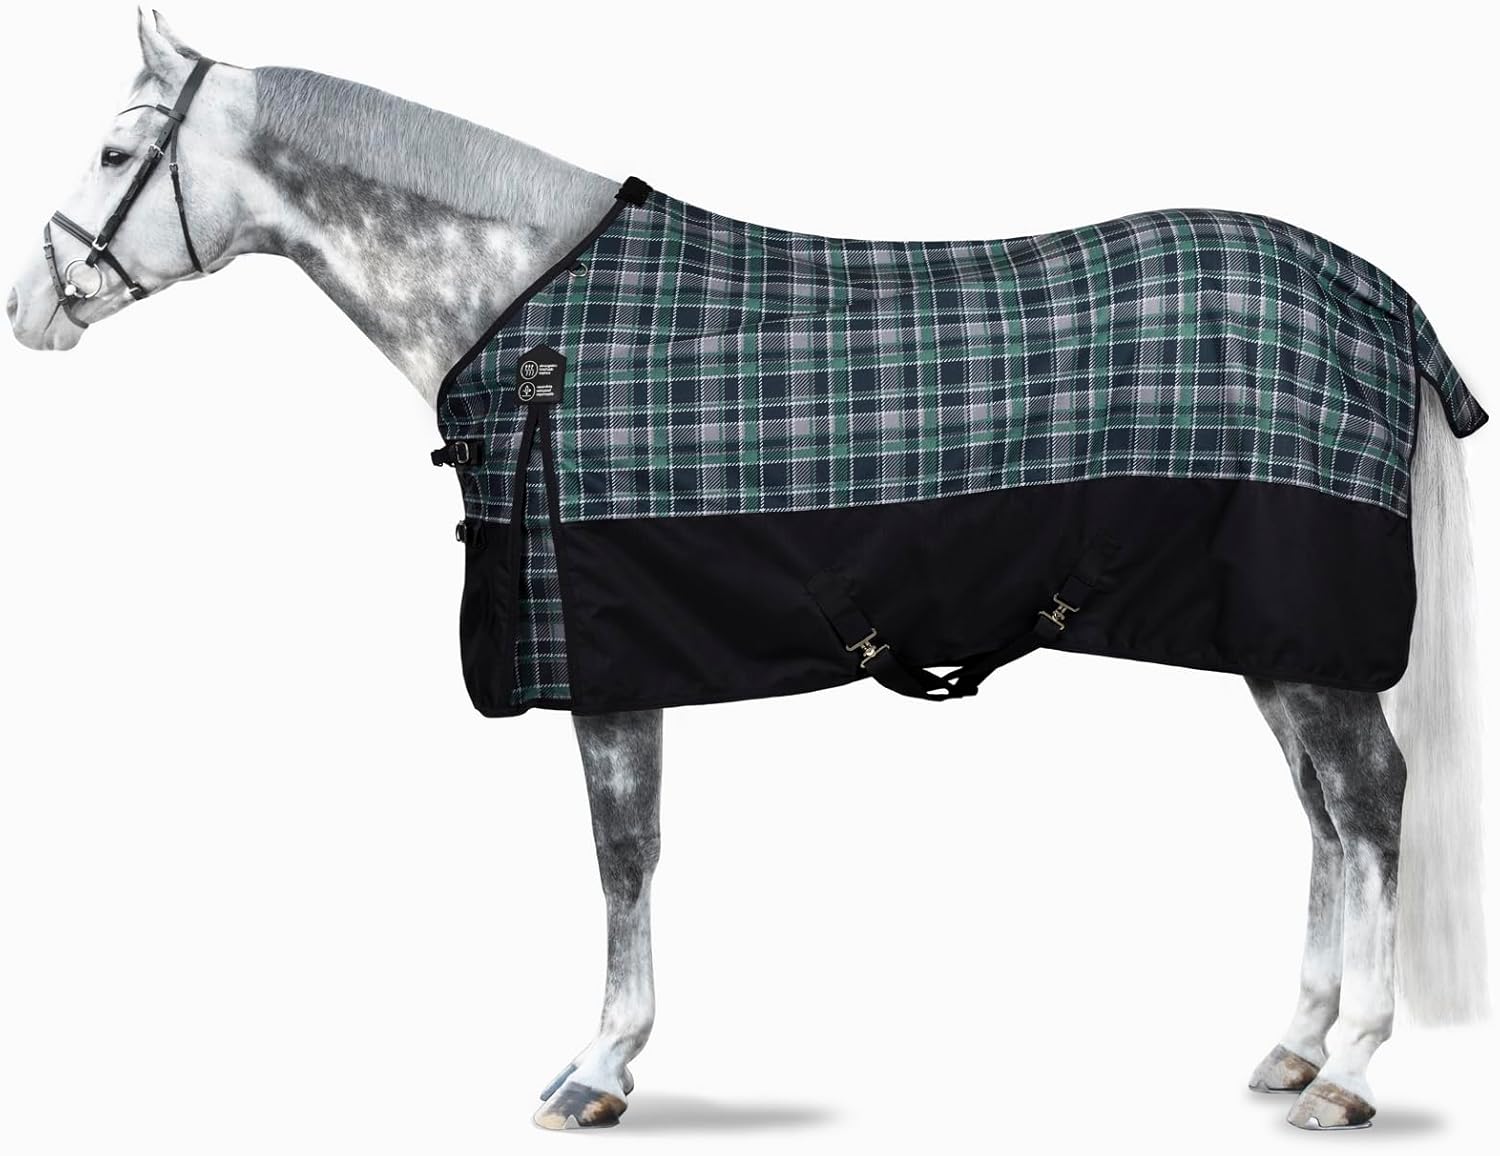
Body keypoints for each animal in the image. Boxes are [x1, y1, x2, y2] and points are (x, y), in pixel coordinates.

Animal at [6, 12, 1487, 1132]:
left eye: (116, 147)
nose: (29, 310)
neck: (535, 320)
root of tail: (1375, 294)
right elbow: (633, 854)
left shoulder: (605, 661)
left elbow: (622, 852)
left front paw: (598, 1068)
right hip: (1274, 639)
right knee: (1323, 815)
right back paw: (1295, 1045)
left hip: (1310, 636)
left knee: (1369, 801)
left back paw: (1351, 1069)